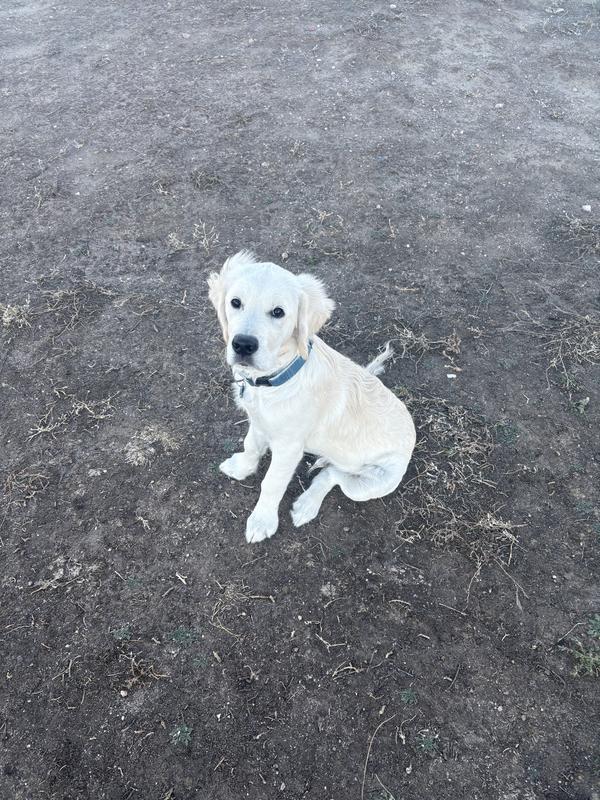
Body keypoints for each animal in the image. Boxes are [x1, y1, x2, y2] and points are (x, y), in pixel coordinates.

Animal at [208, 251, 416, 543]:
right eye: (235, 302)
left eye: (278, 312)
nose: (243, 345)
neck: (274, 380)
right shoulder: (258, 421)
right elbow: (251, 445)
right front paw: (242, 468)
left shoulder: (289, 447)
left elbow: (272, 483)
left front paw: (262, 521)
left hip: (373, 483)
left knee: (334, 475)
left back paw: (307, 505)